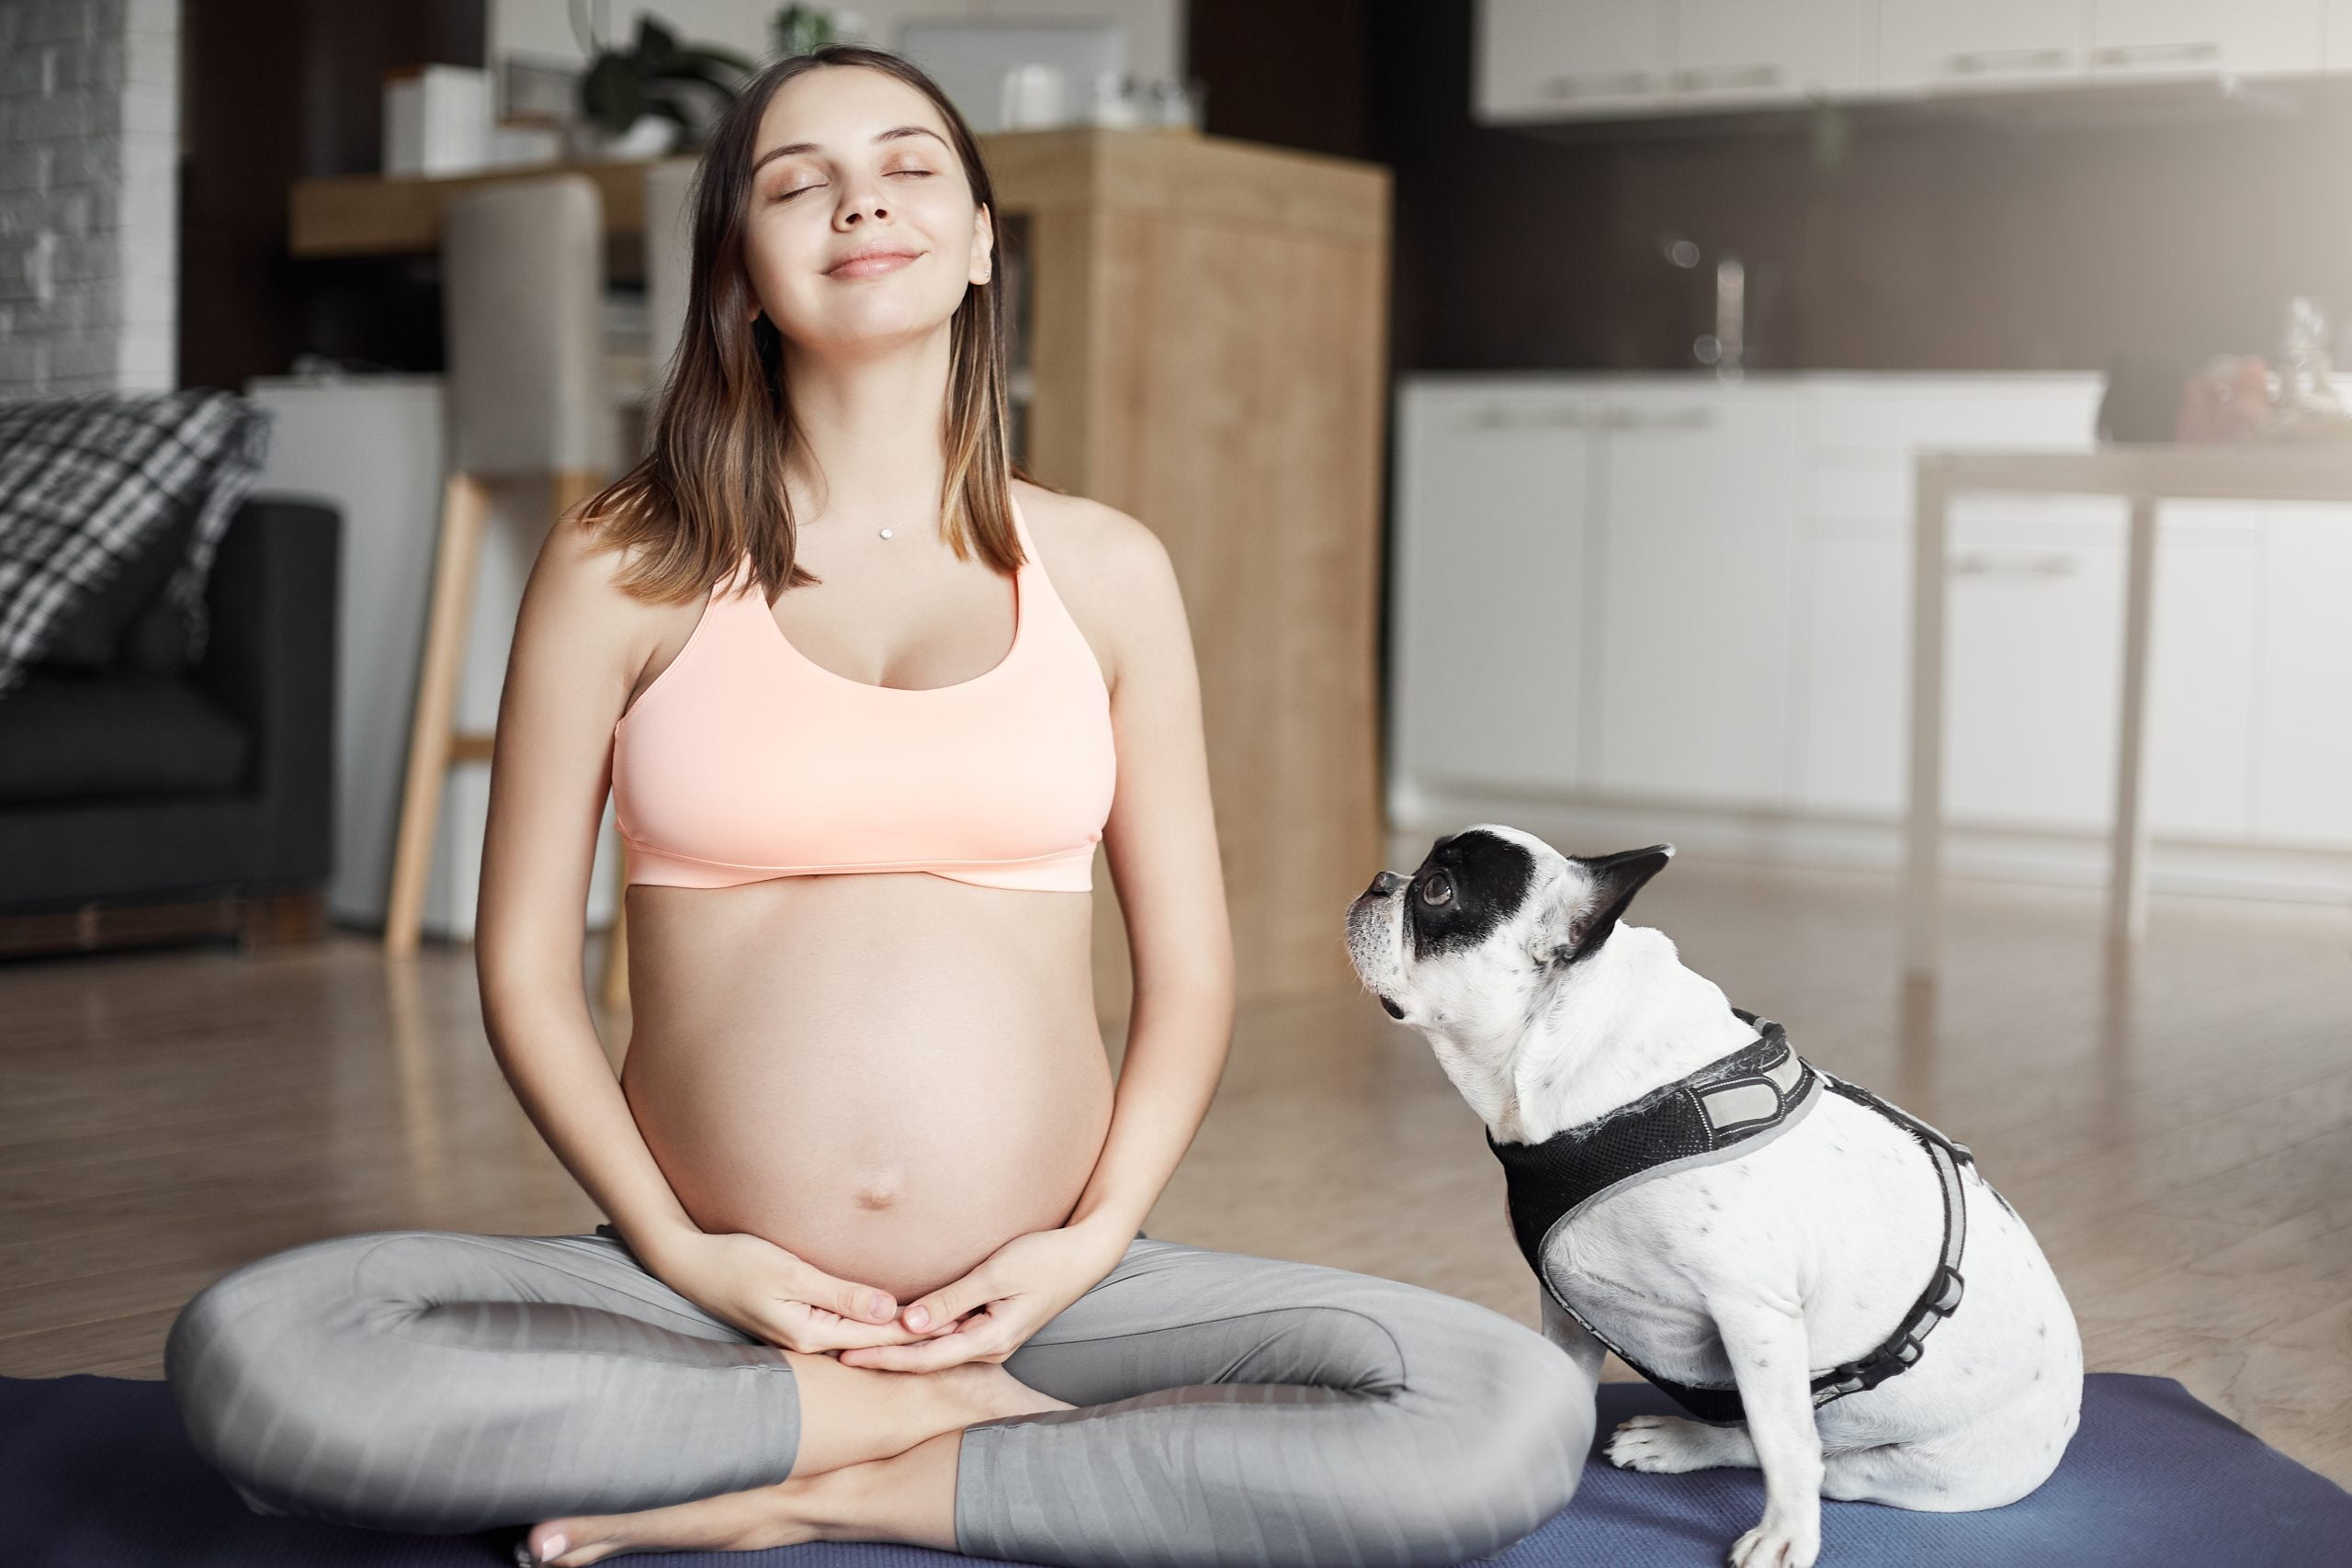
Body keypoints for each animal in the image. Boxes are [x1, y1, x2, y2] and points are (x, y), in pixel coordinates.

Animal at [1345, 827, 2079, 1561]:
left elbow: (1783, 1445)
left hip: (1908, 1467)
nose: (1380, 880)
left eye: (1437, 891)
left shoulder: (1756, 1315)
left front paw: (1785, 1535)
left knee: (1808, 1455)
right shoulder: (1566, 1303)